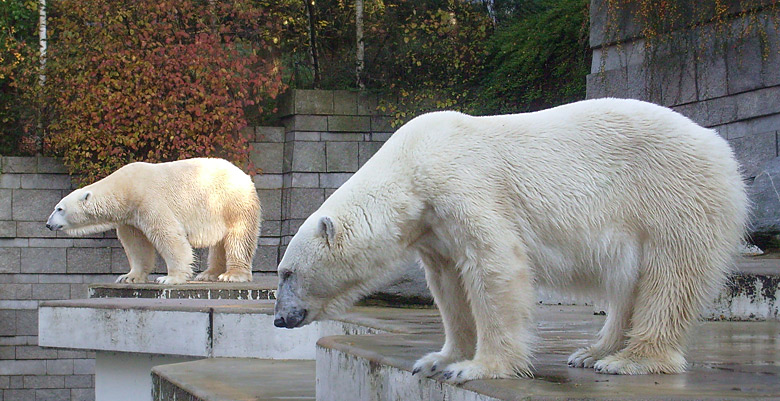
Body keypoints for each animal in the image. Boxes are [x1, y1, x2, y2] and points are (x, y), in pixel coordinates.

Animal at [46, 157, 262, 284]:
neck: (126, 188)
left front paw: (169, 278)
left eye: (59, 208)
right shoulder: (130, 217)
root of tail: (243, 175)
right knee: (218, 242)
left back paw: (233, 275)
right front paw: (128, 277)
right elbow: (136, 245)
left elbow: (168, 235)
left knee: (238, 238)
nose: (48, 224)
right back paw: (208, 274)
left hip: (231, 202)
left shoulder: (149, 201)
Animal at [272, 97, 748, 382]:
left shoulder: (465, 188)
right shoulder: (434, 227)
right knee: (628, 284)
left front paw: (479, 368)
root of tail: (722, 148)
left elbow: (493, 266)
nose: (279, 319)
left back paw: (630, 359)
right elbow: (448, 285)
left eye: (286, 272)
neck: (414, 168)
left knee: (670, 277)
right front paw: (439, 359)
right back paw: (592, 351)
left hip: (672, 197)